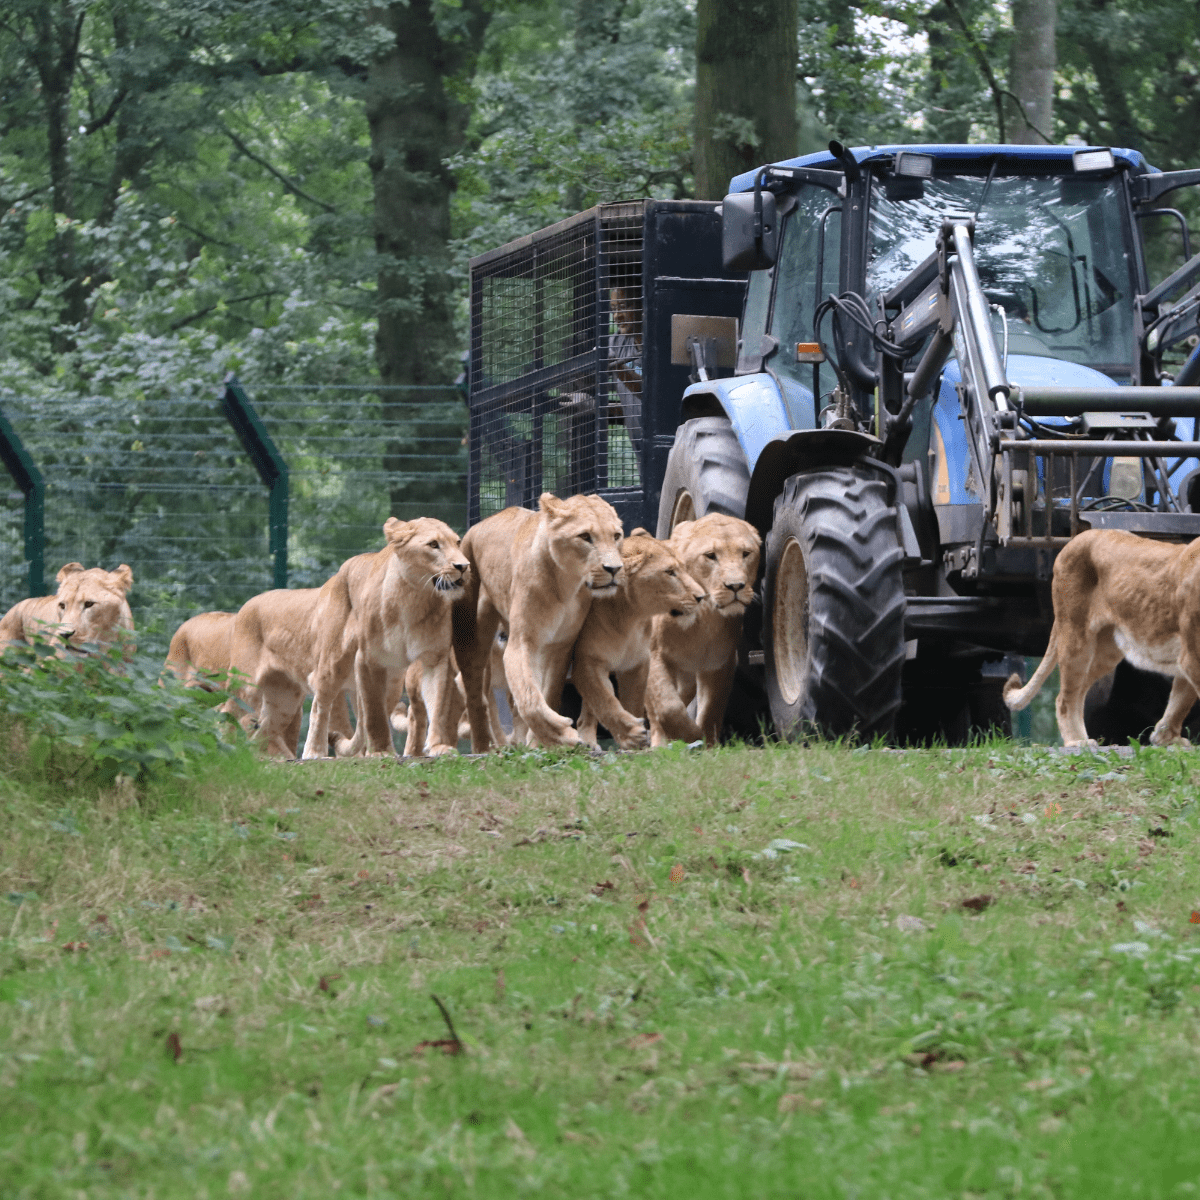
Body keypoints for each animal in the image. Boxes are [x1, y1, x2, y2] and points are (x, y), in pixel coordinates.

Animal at [302, 517, 469, 760]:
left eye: (457, 542)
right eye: (433, 545)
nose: (464, 566)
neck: (414, 597)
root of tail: (339, 572)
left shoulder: (434, 659)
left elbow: (437, 706)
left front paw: (439, 746)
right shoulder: (368, 660)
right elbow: (374, 712)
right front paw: (381, 751)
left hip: (394, 682)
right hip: (334, 663)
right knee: (320, 704)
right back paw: (314, 751)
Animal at [452, 492, 625, 752]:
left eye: (616, 536)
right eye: (585, 537)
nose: (614, 569)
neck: (566, 585)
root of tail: (478, 525)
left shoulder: (561, 647)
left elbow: (549, 693)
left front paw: (542, 740)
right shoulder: (521, 643)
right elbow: (529, 696)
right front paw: (562, 734)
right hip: (471, 640)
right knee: (476, 695)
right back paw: (484, 747)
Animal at [574, 529, 705, 749]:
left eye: (684, 568)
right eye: (670, 572)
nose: (702, 597)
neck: (629, 618)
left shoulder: (637, 664)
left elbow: (633, 703)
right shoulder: (587, 662)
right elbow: (604, 700)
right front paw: (632, 734)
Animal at [644, 513, 761, 747]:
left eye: (746, 553)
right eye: (710, 556)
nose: (736, 586)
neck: (704, 617)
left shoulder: (719, 663)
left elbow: (711, 708)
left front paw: (708, 745)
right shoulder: (654, 655)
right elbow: (667, 706)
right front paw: (690, 735)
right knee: (655, 710)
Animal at [1003, 528, 1200, 748]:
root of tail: (1079, 536)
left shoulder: (1187, 657)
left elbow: (1180, 699)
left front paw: (1166, 739)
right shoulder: (1192, 657)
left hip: (1107, 651)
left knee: (1080, 690)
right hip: (1075, 634)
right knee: (1065, 698)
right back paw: (1077, 742)